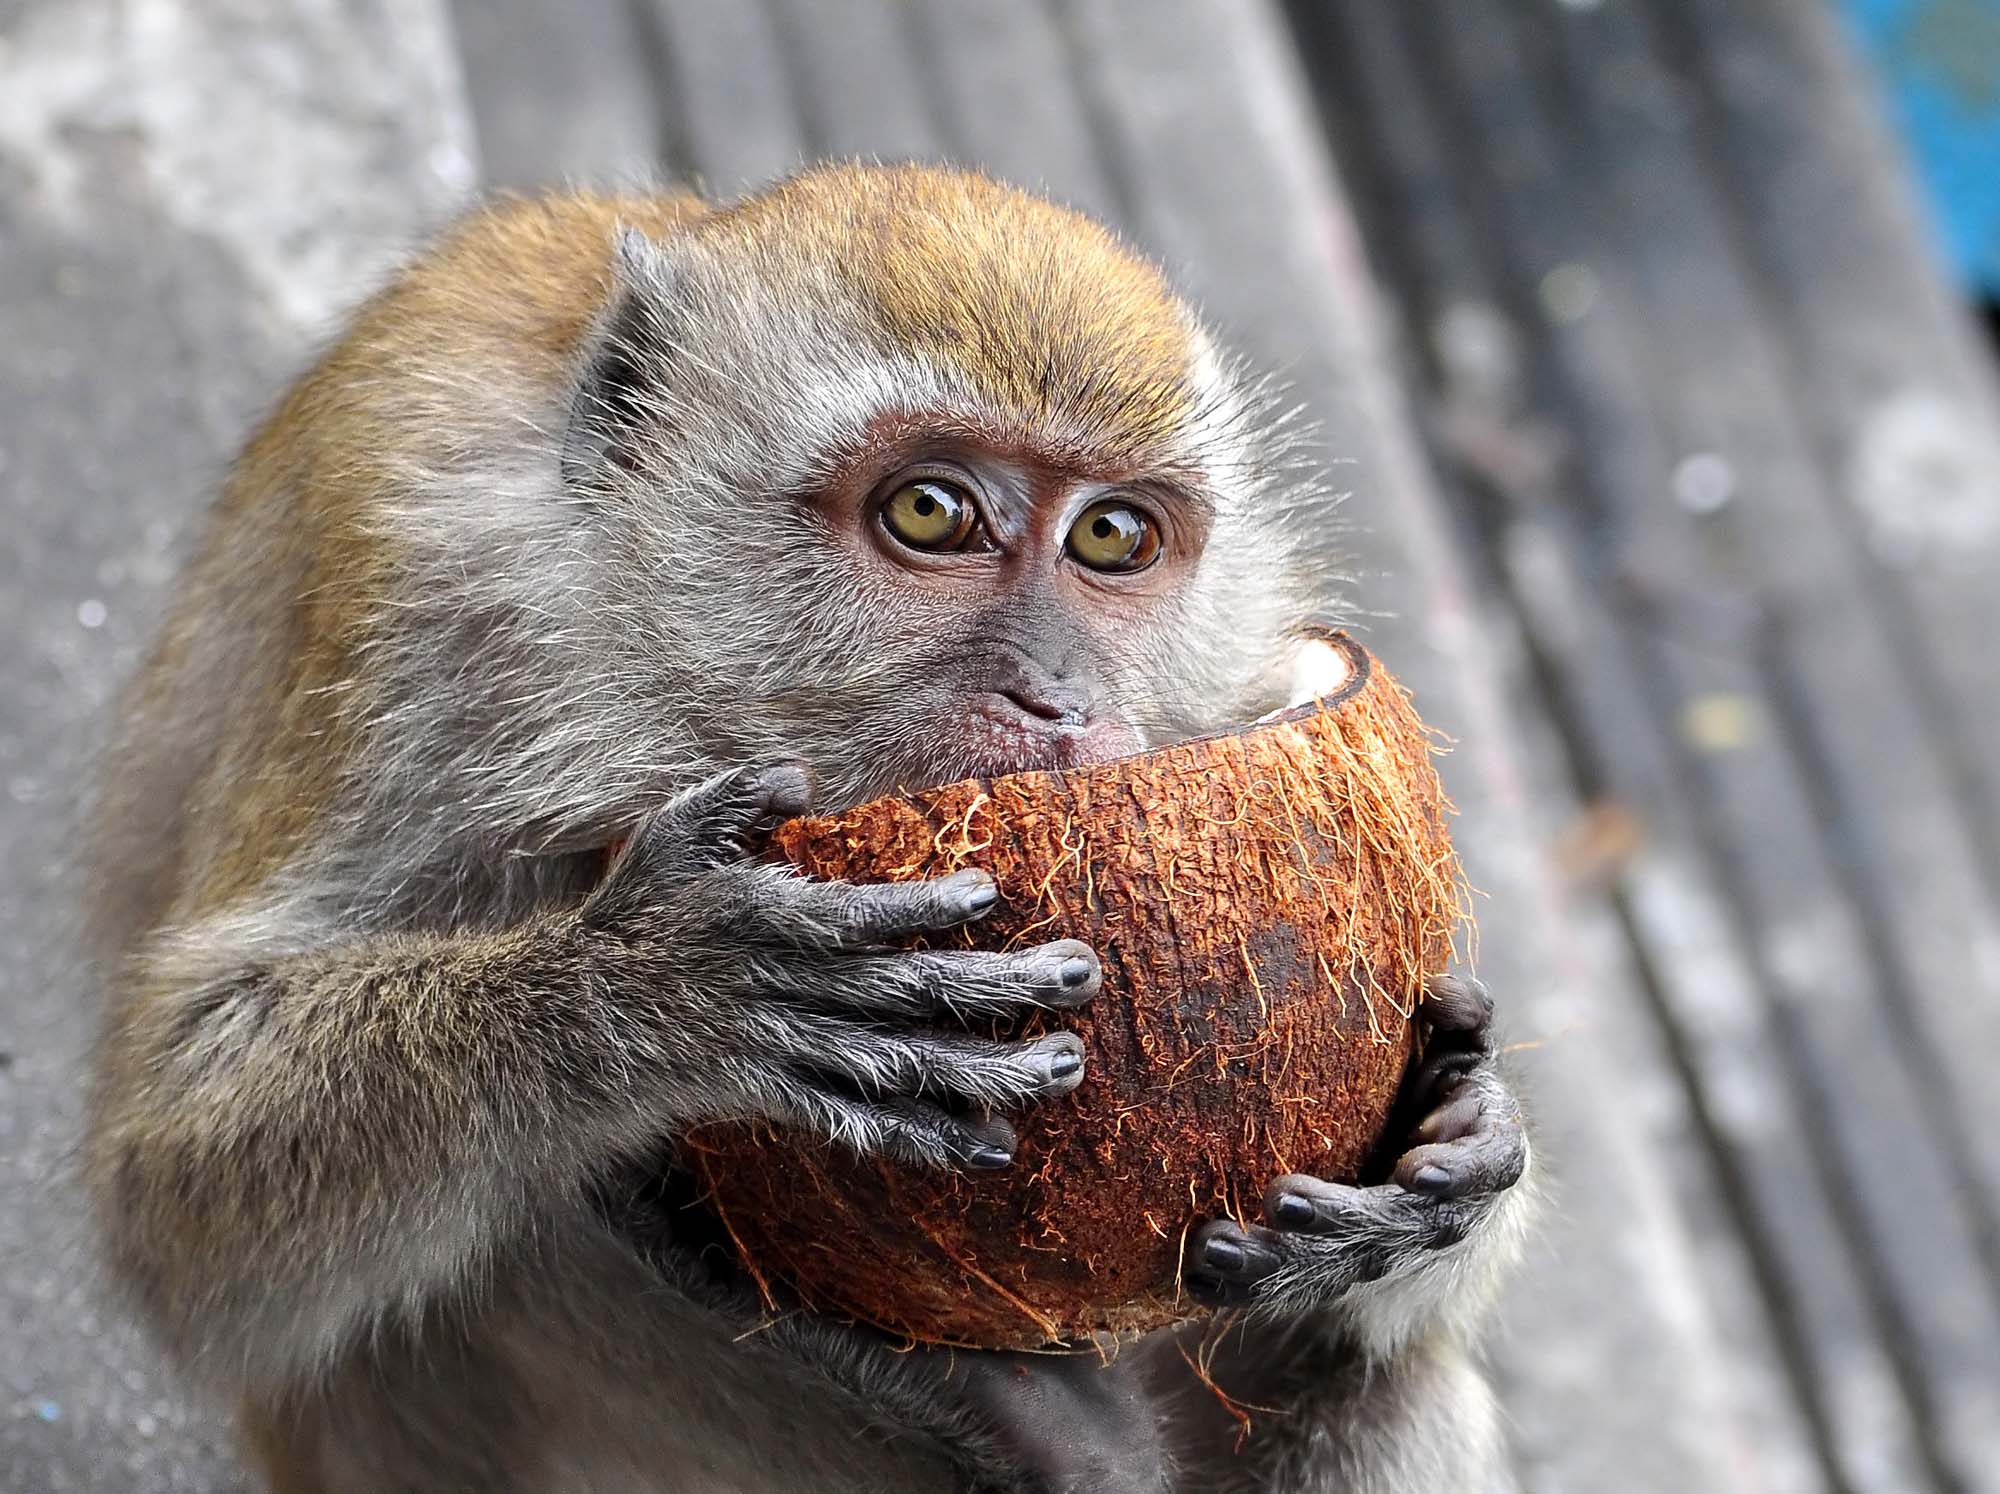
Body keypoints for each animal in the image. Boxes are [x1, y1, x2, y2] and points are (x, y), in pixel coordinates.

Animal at [80, 163, 1531, 1493]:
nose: (1060, 701)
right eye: (931, 512)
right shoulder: (423, 623)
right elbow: (177, 1206)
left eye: (1113, 537)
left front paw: (1458, 1140)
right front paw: (650, 990)